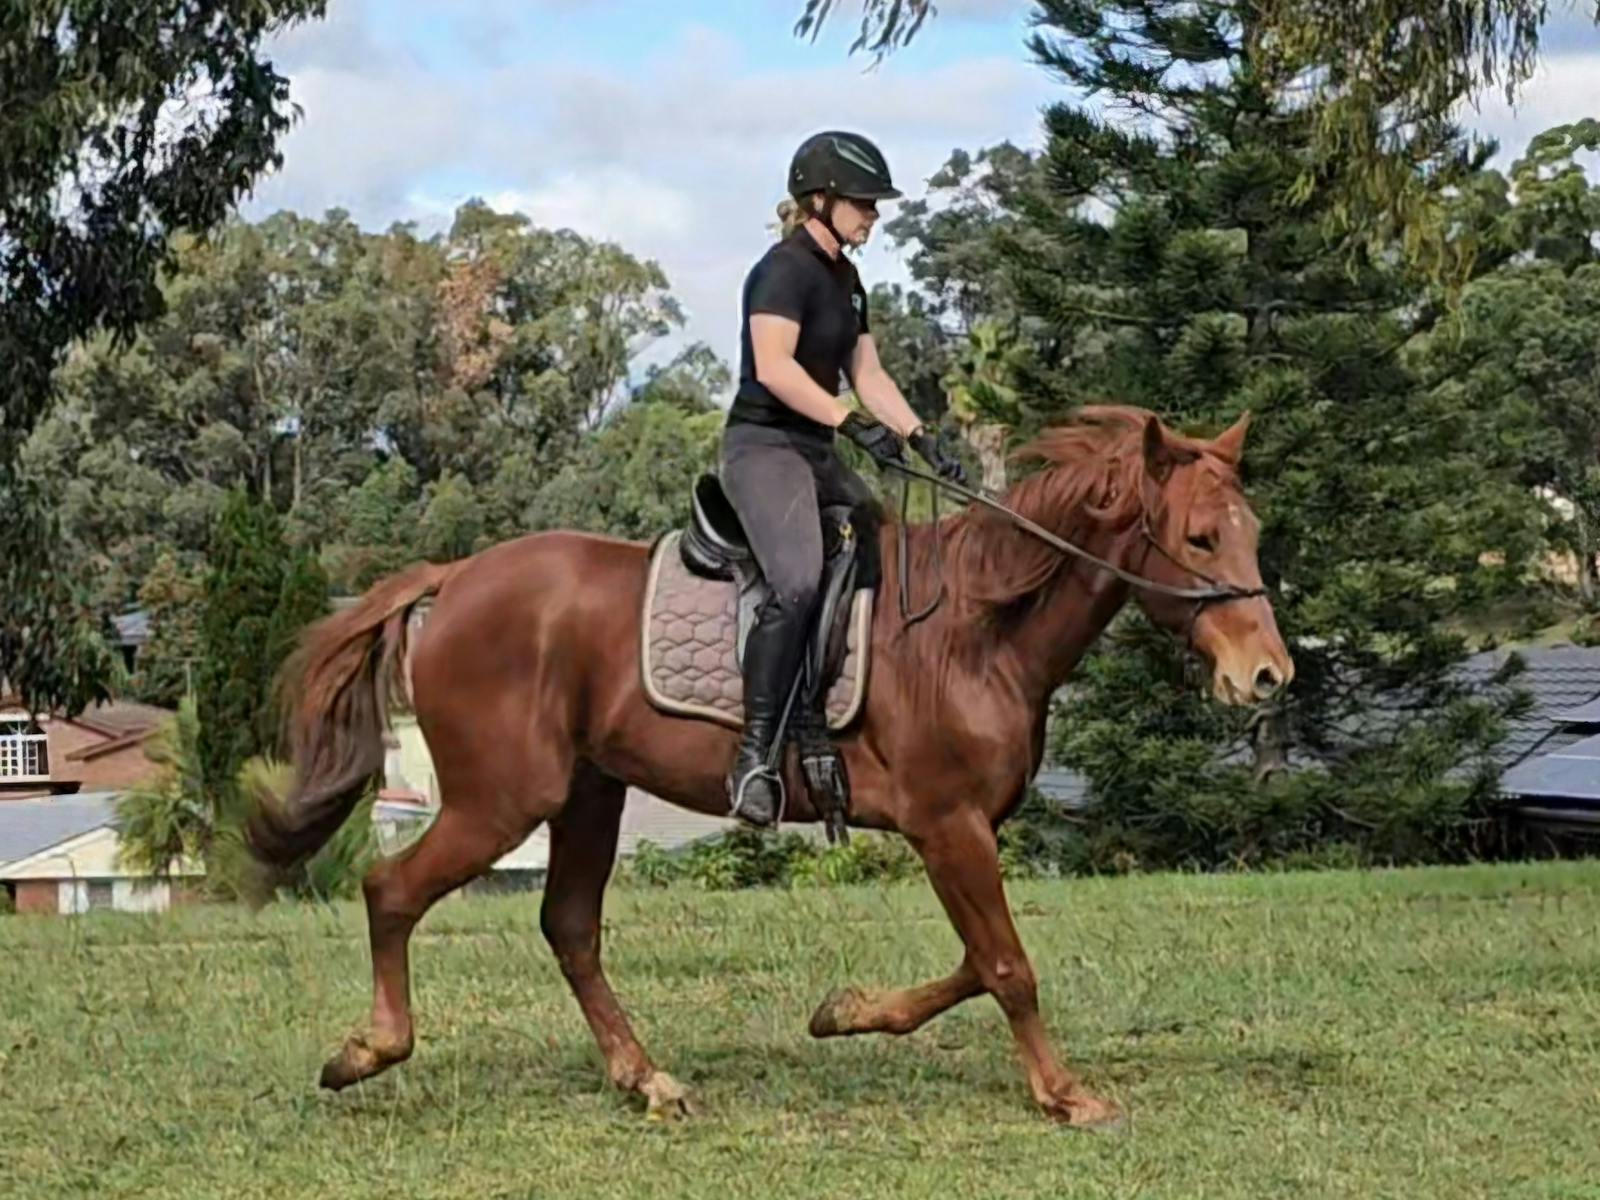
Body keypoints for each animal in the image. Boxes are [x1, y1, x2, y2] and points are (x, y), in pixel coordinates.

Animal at [247, 404, 1293, 1127]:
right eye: (1200, 538)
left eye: (1250, 533)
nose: (1267, 675)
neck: (977, 627)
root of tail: (454, 577)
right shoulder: (947, 824)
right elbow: (1006, 964)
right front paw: (1064, 1093)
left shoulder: (959, 831)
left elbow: (971, 963)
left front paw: (845, 1012)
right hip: (503, 800)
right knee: (391, 889)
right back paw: (366, 1051)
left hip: (588, 794)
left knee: (569, 926)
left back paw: (646, 1079)